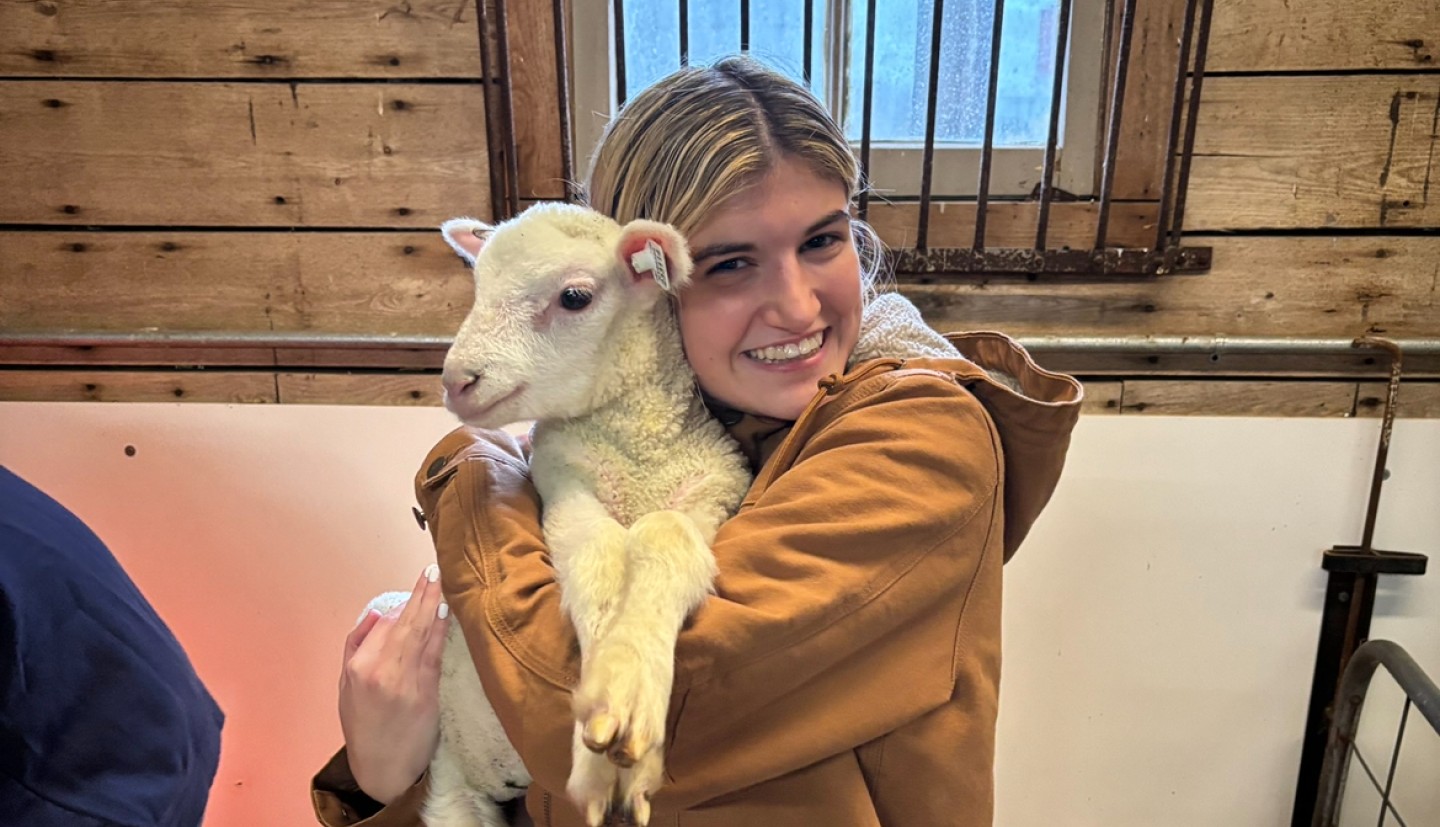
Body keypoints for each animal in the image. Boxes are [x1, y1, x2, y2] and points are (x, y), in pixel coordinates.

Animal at [421, 201, 752, 827]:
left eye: (574, 297)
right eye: (478, 288)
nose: (456, 380)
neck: (638, 448)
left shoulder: (712, 492)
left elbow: (666, 538)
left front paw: (628, 699)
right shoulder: (562, 481)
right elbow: (597, 556)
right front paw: (605, 739)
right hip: (459, 768)